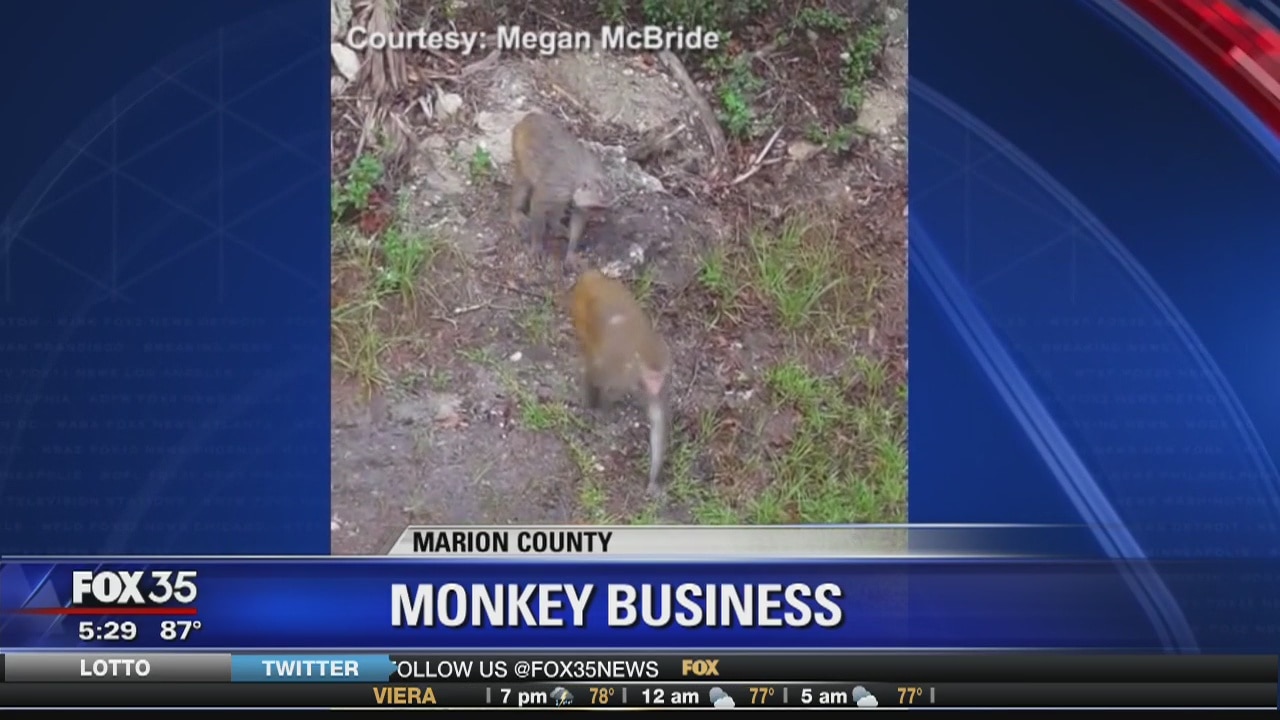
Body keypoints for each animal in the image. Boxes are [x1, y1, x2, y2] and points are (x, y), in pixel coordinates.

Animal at [510, 112, 611, 264]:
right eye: (596, 208)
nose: (599, 214)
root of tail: (530, 117)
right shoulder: (557, 186)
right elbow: (538, 204)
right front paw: (537, 245)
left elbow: (579, 216)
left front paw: (571, 252)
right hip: (518, 145)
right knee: (523, 183)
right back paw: (516, 213)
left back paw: (555, 225)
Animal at [568, 269, 671, 496]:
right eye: (652, 377)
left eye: (660, 377)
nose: (657, 385)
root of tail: (594, 278)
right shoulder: (616, 366)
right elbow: (591, 373)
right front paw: (594, 409)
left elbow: (657, 421)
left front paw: (653, 480)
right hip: (580, 306)